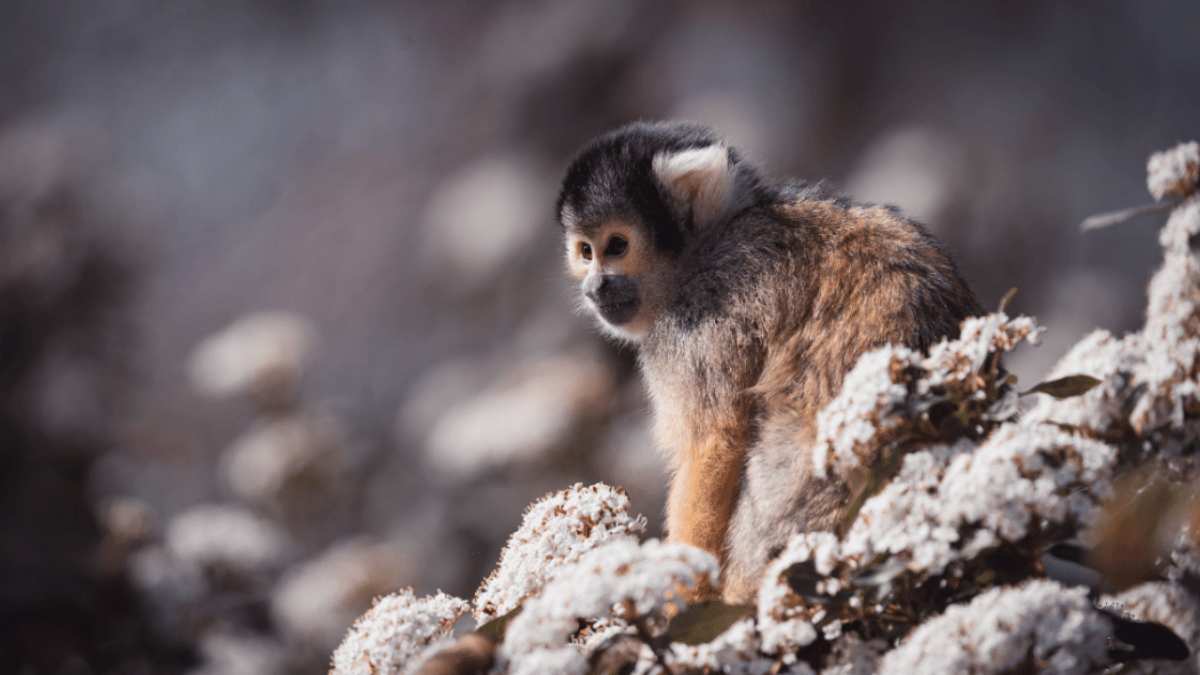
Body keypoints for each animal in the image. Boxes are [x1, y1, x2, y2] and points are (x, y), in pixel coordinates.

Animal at [556, 121, 983, 603]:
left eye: (616, 246)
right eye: (585, 252)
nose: (595, 288)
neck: (707, 246)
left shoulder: (702, 312)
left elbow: (716, 442)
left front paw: (681, 601)